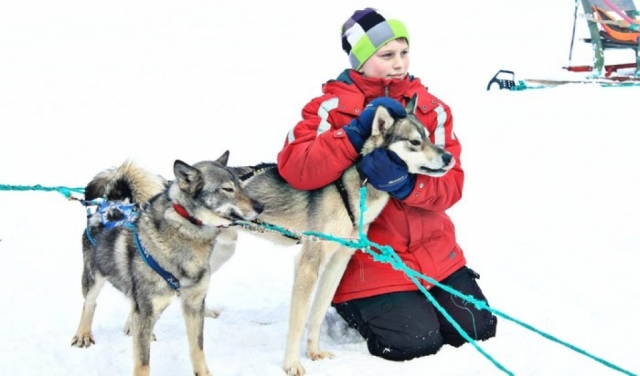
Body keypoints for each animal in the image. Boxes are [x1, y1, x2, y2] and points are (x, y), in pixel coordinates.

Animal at [74, 152, 264, 376]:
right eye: (227, 189)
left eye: (241, 185)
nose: (261, 207)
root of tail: (112, 202)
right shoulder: (147, 309)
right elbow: (143, 362)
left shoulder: (194, 304)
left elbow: (197, 347)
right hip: (94, 276)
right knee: (90, 303)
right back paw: (84, 334)